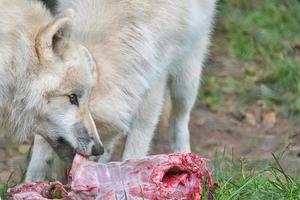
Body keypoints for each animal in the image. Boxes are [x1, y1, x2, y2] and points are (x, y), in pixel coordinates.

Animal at [25, 0, 218, 182]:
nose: (98, 149)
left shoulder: (152, 88)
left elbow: (135, 147)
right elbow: (40, 149)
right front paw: (31, 182)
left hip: (185, 81)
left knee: (180, 119)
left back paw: (186, 156)